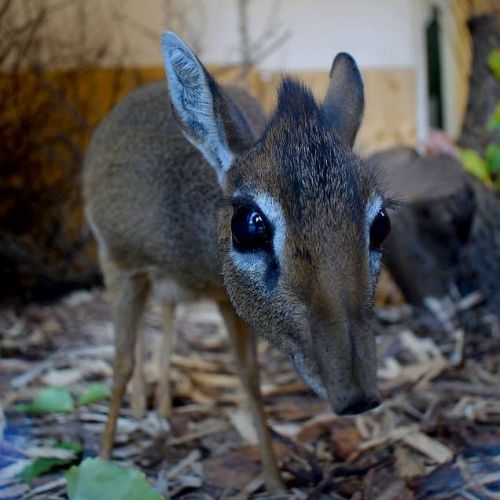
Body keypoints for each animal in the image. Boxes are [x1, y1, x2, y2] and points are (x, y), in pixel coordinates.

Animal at [84, 32, 390, 492]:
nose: (356, 394)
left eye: (382, 223)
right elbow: (119, 364)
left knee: (166, 324)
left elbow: (250, 379)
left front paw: (276, 482)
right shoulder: (122, 264)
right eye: (249, 224)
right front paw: (101, 465)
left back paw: (161, 406)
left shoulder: (224, 300)